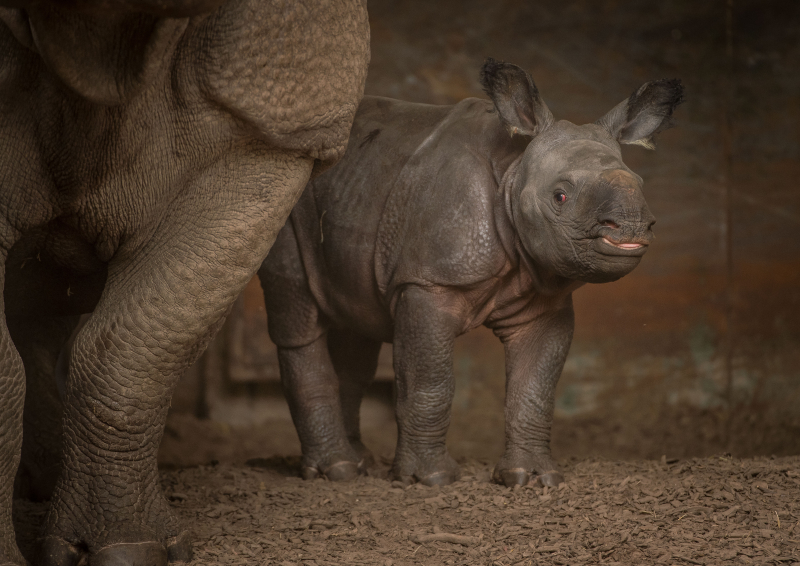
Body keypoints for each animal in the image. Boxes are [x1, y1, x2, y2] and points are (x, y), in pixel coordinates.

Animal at [259, 59, 683, 487]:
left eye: (641, 185)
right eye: (560, 196)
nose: (631, 226)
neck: (515, 171)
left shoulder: (545, 300)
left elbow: (535, 388)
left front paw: (531, 477)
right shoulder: (427, 282)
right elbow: (429, 382)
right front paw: (429, 479)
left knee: (356, 326)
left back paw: (359, 463)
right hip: (286, 206)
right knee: (299, 323)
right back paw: (336, 471)